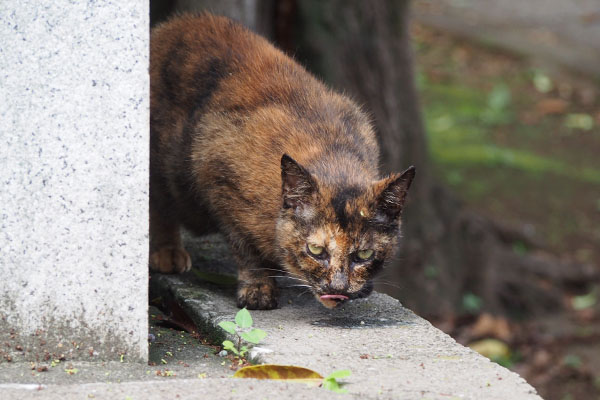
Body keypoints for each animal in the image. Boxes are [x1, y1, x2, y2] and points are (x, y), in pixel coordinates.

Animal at [150, 14, 414, 310]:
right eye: (315, 250)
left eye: (364, 255)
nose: (338, 289)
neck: (330, 154)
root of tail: (173, 25)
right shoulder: (217, 175)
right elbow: (244, 246)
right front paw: (257, 288)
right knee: (160, 204)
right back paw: (167, 251)